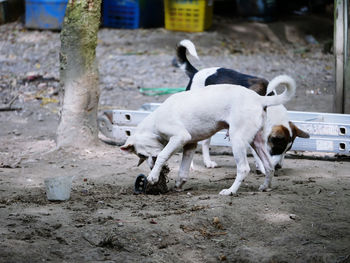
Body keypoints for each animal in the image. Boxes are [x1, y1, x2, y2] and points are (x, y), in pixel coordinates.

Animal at [122, 75, 296, 195]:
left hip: (237, 141)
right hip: (257, 142)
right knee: (269, 166)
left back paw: (230, 191)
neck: (155, 121)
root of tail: (259, 99)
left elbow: (163, 155)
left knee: (244, 169)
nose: (150, 167)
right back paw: (265, 187)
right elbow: (183, 171)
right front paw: (178, 185)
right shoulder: (190, 145)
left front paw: (153, 176)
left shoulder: (180, 137)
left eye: (142, 154)